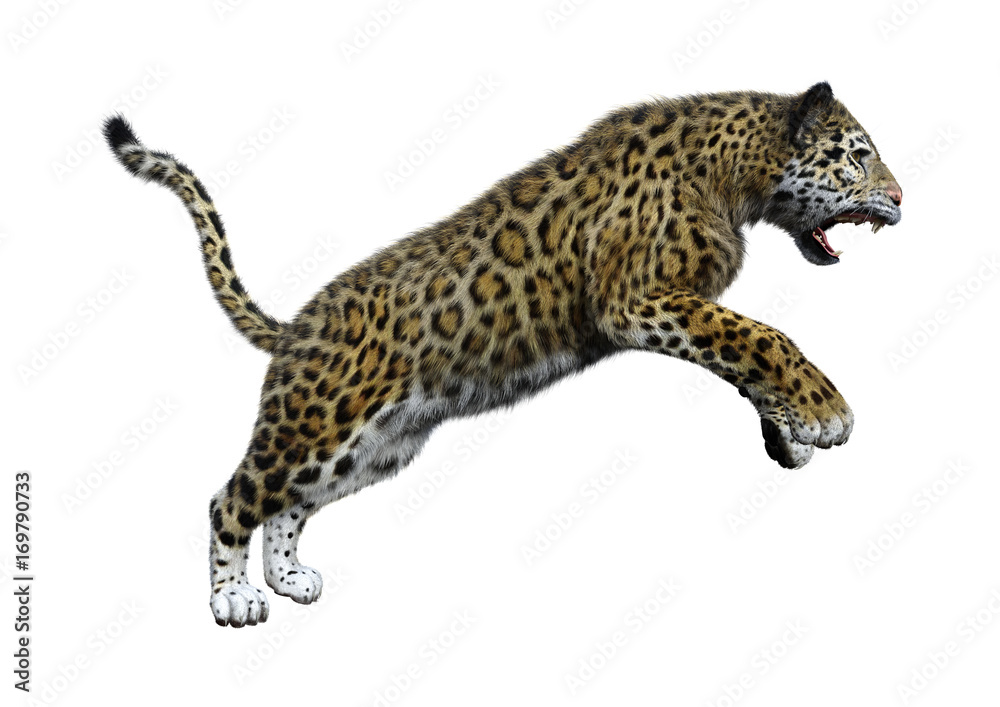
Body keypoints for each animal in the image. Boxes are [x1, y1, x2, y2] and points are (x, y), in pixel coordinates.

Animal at [103, 81, 902, 627]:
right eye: (858, 157)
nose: (900, 197)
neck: (738, 177)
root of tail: (295, 328)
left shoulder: (675, 304)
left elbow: (744, 356)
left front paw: (790, 433)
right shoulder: (640, 298)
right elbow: (761, 335)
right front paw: (826, 412)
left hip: (372, 449)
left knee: (290, 503)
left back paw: (289, 578)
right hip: (317, 424)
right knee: (233, 495)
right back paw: (235, 598)